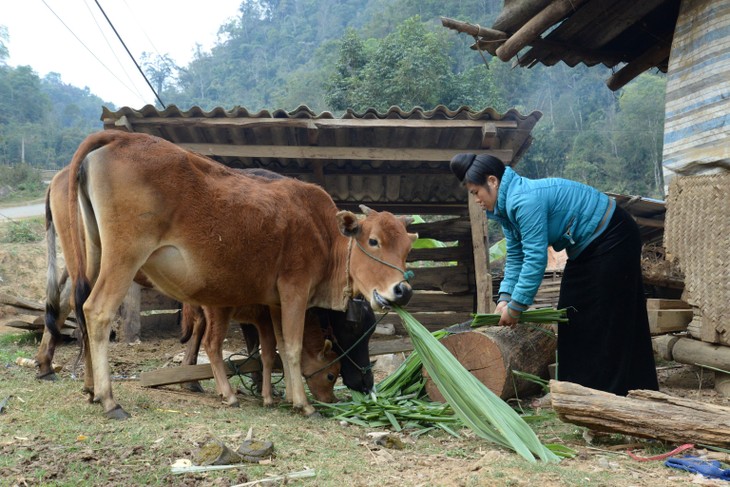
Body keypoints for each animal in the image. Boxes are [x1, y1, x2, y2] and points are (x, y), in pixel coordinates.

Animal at [182, 304, 342, 404]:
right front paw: (268, 394)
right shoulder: (266, 321)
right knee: (209, 342)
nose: (331, 399)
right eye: (330, 376)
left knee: (198, 329)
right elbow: (269, 353)